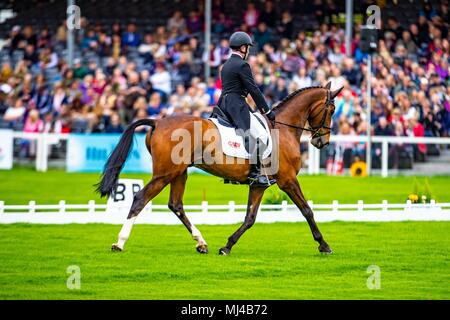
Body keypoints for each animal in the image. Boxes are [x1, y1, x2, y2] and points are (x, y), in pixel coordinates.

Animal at [96, 82, 342, 255]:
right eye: (331, 109)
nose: (322, 142)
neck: (283, 128)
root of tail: (158, 122)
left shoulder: (259, 185)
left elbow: (250, 218)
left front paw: (227, 246)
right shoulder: (288, 179)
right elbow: (307, 210)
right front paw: (324, 245)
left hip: (179, 173)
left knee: (176, 205)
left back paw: (201, 243)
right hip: (165, 174)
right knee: (140, 198)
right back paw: (119, 242)